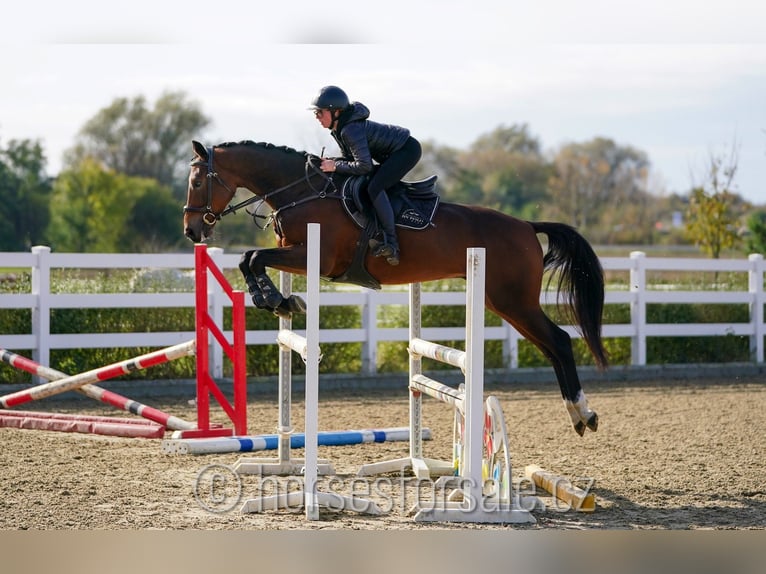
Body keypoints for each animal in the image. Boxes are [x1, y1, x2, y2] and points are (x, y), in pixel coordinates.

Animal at [183, 140, 608, 436]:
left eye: (198, 181)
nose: (192, 231)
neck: (301, 191)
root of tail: (526, 225)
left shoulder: (316, 257)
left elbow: (254, 257)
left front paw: (276, 299)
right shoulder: (292, 252)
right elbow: (249, 258)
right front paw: (280, 301)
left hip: (513, 300)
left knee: (560, 341)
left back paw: (584, 413)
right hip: (503, 302)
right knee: (551, 346)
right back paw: (578, 414)